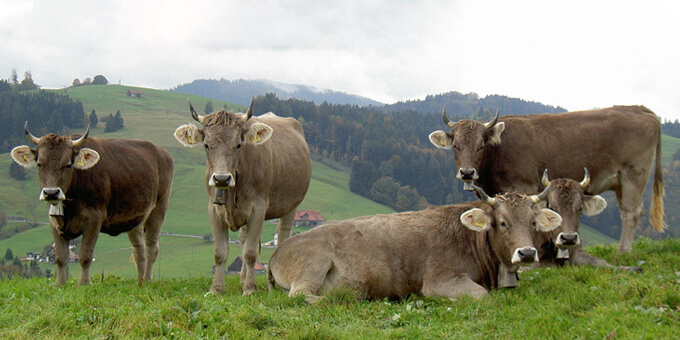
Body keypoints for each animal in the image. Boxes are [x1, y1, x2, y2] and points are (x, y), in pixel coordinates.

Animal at [10, 123, 174, 286]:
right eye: (39, 164)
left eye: (68, 165)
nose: (51, 193)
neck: (70, 209)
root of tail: (161, 151)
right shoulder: (54, 221)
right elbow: (60, 257)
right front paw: (60, 283)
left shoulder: (94, 219)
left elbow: (85, 255)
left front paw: (84, 283)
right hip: (135, 218)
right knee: (138, 249)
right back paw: (140, 281)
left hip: (159, 207)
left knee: (151, 247)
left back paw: (147, 279)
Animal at [175, 99, 314, 294]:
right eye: (206, 145)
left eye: (238, 145)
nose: (221, 178)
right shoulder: (214, 210)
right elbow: (220, 252)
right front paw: (216, 289)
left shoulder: (258, 209)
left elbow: (249, 252)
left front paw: (249, 288)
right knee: (243, 238)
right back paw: (242, 277)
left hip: (291, 205)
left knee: (283, 234)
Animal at [268, 185, 560, 302]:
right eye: (502, 223)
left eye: (533, 223)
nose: (526, 253)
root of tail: (277, 251)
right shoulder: (440, 279)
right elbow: (481, 295)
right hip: (314, 263)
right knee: (301, 295)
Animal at [430, 105, 664, 252]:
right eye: (456, 146)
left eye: (481, 146)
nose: (467, 172)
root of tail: (640, 108)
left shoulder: (523, 187)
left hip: (633, 174)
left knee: (631, 212)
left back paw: (622, 251)